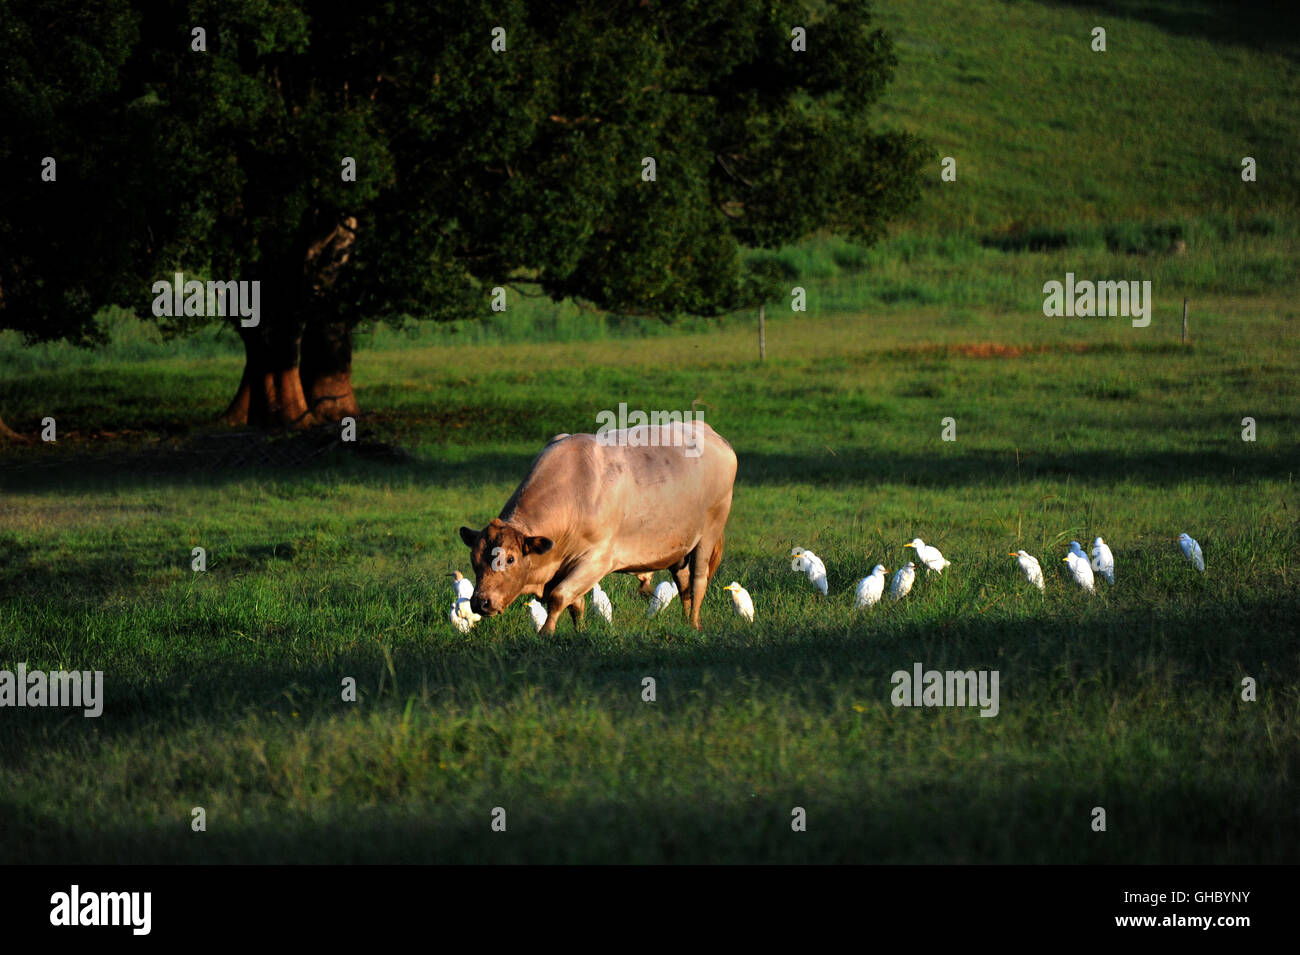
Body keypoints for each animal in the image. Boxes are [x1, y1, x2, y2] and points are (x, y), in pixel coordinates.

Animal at [460, 420, 743, 631]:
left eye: (509, 559)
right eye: (474, 559)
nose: (481, 602)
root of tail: (714, 435)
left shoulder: (596, 560)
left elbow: (559, 596)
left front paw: (546, 633)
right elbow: (575, 603)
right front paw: (579, 632)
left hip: (708, 534)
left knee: (698, 582)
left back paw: (694, 624)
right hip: (679, 548)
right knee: (684, 584)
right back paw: (685, 622)